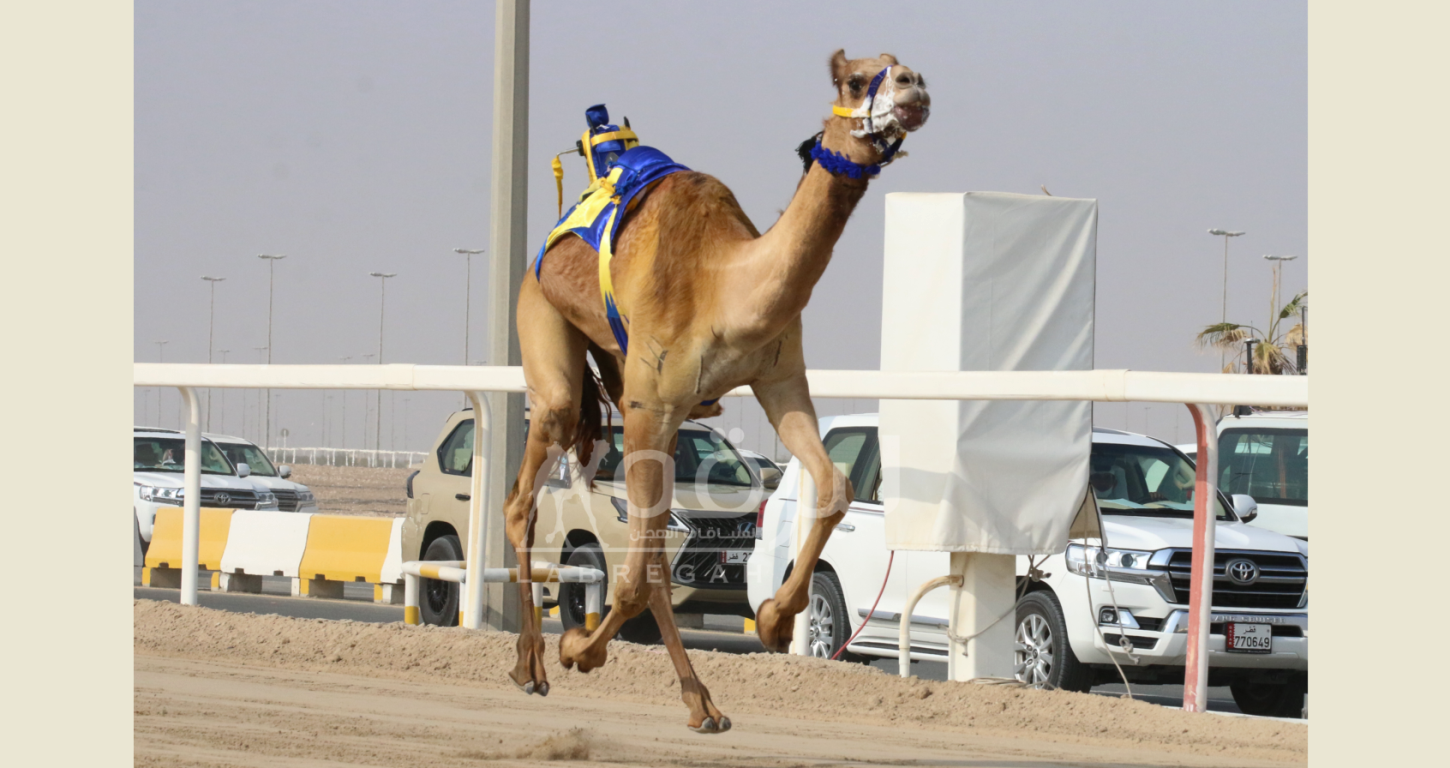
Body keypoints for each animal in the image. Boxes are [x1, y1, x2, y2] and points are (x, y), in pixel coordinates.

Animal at [504, 49, 928, 730]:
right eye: (856, 80)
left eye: (897, 65)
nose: (914, 86)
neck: (726, 284)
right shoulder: (649, 403)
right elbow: (632, 575)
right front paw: (577, 649)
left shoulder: (780, 380)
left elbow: (834, 485)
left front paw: (777, 620)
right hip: (543, 320)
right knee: (528, 494)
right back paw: (535, 665)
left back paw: (692, 698)